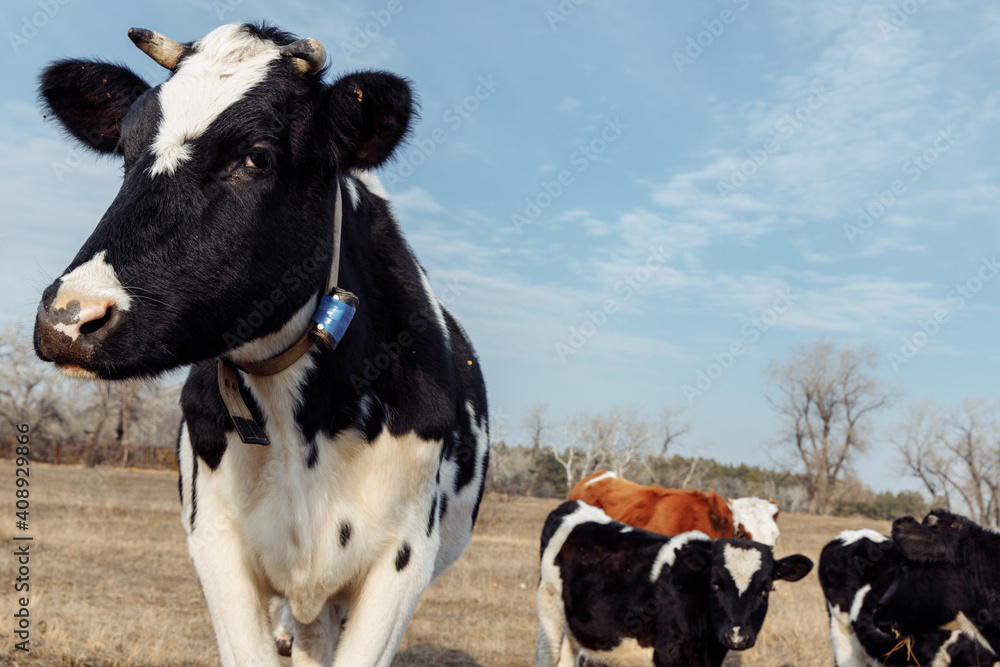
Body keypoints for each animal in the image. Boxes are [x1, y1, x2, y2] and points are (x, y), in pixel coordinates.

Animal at [33, 22, 488, 667]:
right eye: (125, 153)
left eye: (257, 156)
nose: (69, 317)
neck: (304, 428)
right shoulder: (215, 543)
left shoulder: (403, 559)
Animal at [536, 500, 813, 667]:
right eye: (715, 584)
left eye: (764, 589)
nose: (737, 636)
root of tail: (574, 506)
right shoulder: (668, 655)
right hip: (550, 613)